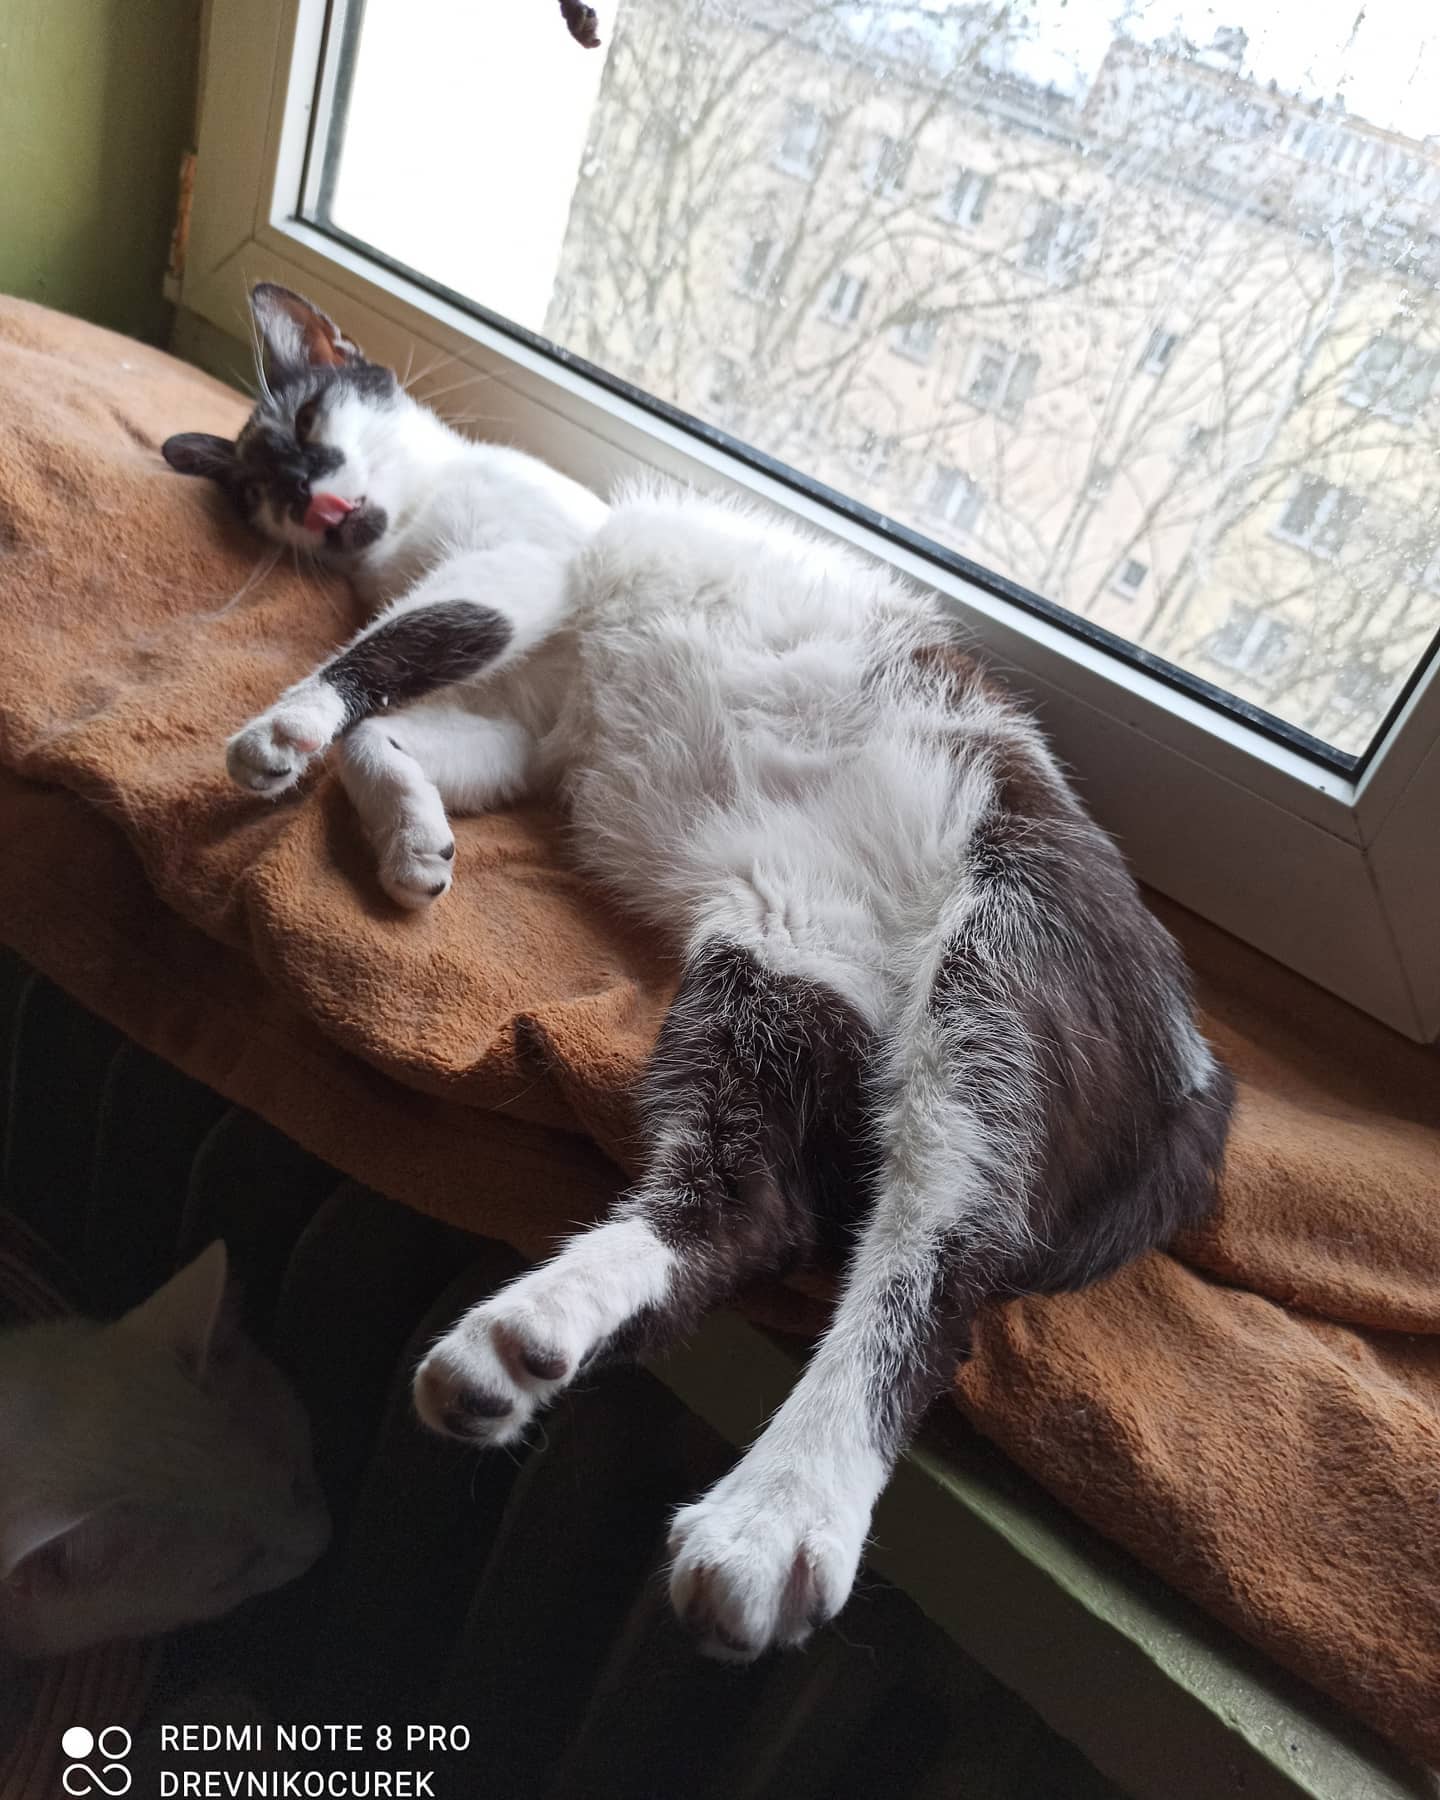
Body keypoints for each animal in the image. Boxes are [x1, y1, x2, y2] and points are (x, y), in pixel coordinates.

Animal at [163, 283, 1233, 1661]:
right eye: (260, 491)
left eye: (306, 427)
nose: (313, 501)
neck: (415, 524)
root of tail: (1200, 1084)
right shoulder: (528, 728)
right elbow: (394, 739)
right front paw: (413, 843)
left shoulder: (525, 566)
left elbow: (400, 653)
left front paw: (288, 728)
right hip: (783, 957)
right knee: (755, 1204)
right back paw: (523, 1345)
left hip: (998, 961)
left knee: (939, 1256)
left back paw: (775, 1517)